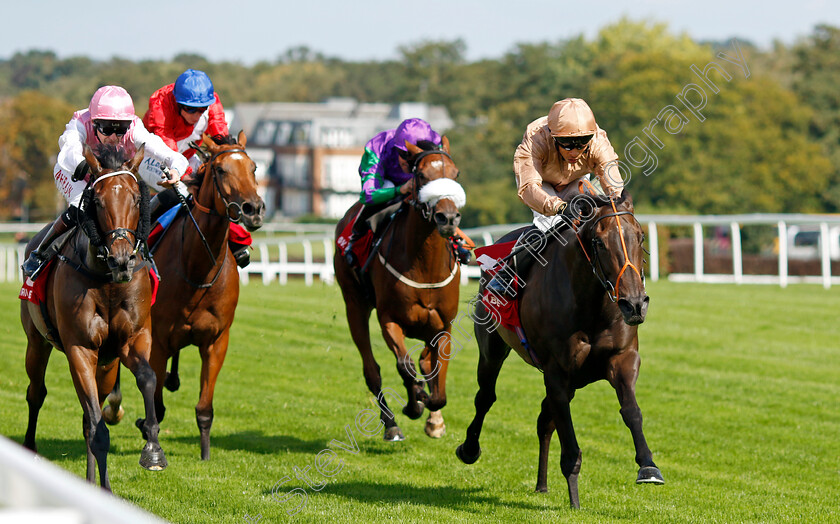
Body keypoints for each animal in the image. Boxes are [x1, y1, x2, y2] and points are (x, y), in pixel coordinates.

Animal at [20, 143, 166, 488]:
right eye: (97, 201)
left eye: (136, 198)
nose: (122, 259)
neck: (108, 281)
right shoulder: (81, 348)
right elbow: (98, 430)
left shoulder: (132, 340)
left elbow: (148, 378)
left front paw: (153, 449)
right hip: (37, 342)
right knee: (36, 393)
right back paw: (30, 449)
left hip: (107, 363)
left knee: (91, 415)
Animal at [334, 137, 466, 440]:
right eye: (422, 176)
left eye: (455, 175)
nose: (448, 218)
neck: (425, 267)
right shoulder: (390, 320)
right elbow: (404, 366)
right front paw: (414, 403)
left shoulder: (444, 325)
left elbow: (437, 384)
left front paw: (433, 416)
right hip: (354, 304)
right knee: (372, 370)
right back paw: (391, 422)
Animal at [456, 191, 668, 508]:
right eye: (599, 242)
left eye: (640, 237)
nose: (634, 304)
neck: (592, 305)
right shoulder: (556, 370)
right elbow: (568, 436)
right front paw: (575, 499)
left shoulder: (623, 358)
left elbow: (631, 410)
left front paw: (648, 466)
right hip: (492, 348)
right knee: (486, 397)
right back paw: (469, 449)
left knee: (544, 420)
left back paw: (542, 485)